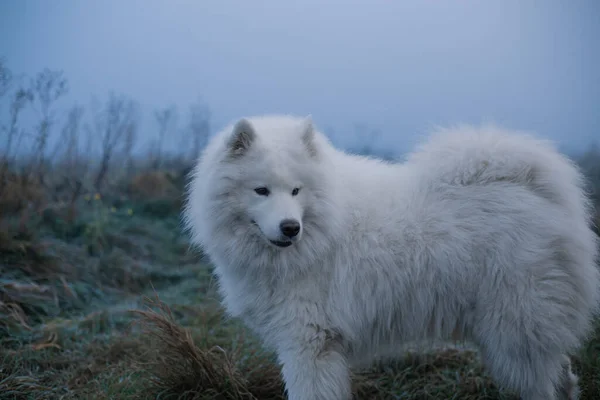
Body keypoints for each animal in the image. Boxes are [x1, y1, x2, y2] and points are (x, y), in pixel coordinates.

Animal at [185, 115, 596, 400]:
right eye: (261, 190)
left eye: (297, 191)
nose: (290, 227)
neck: (323, 230)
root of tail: (536, 192)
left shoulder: (309, 343)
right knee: (563, 378)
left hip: (514, 331)